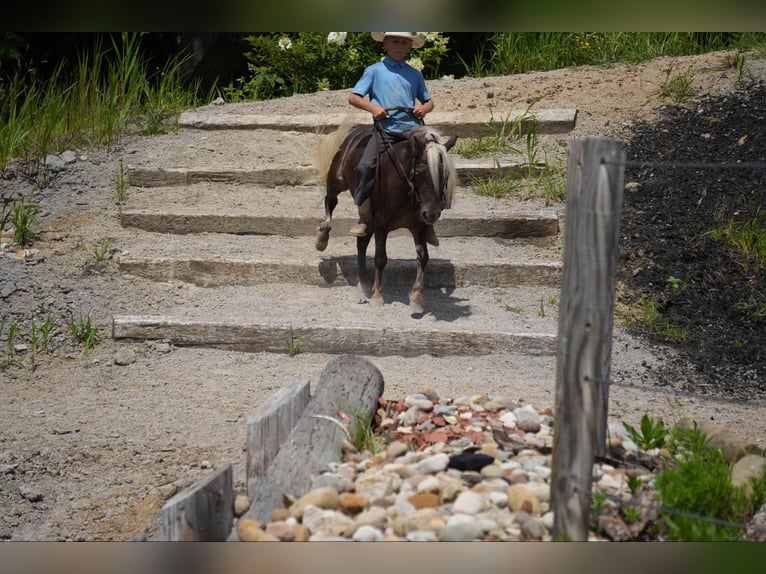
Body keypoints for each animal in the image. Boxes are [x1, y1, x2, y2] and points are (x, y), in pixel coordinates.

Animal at [316, 118, 460, 316]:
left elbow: (423, 257)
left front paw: (416, 298)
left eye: (445, 175)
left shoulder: (420, 225)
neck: (405, 186)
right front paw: (377, 297)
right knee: (330, 201)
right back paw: (322, 239)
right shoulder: (381, 224)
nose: (432, 214)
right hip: (337, 182)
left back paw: (363, 283)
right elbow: (380, 258)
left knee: (361, 242)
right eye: (418, 173)